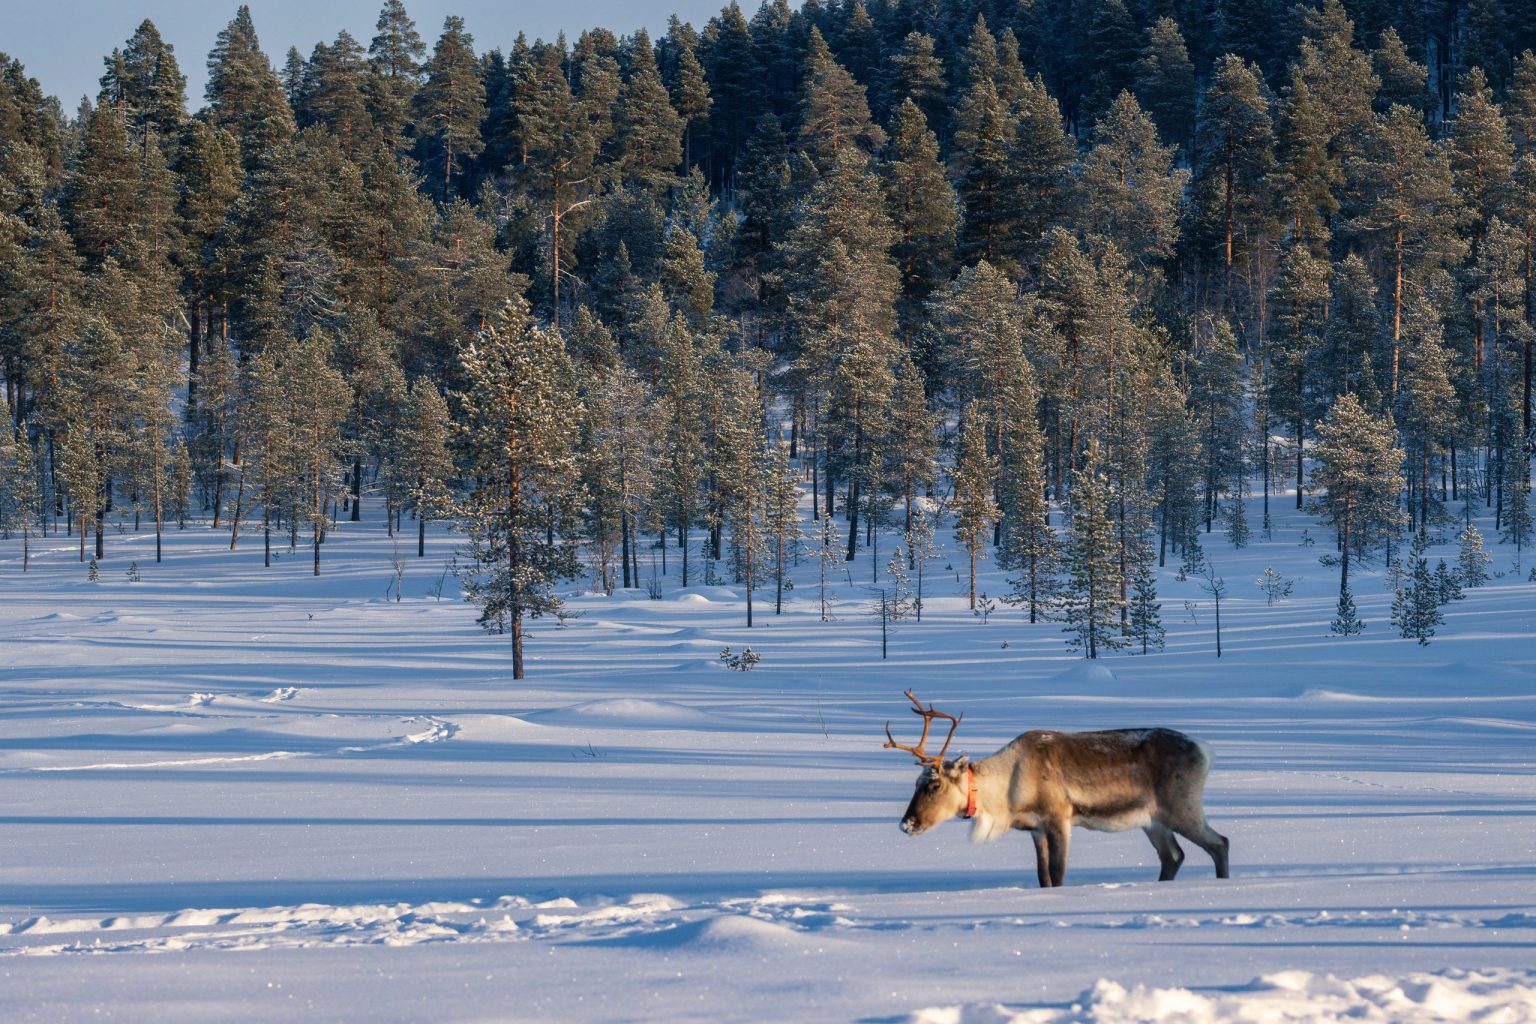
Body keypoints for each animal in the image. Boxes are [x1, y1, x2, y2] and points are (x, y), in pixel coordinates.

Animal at [885, 691, 1229, 887]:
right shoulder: (1037, 829)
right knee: (1173, 856)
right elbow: (1044, 877)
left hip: (1181, 808)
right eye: (916, 783)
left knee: (1219, 843)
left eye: (934, 784)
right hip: (1153, 820)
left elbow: (1059, 873)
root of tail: (1205, 750)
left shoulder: (1059, 817)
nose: (906, 824)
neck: (1006, 794)